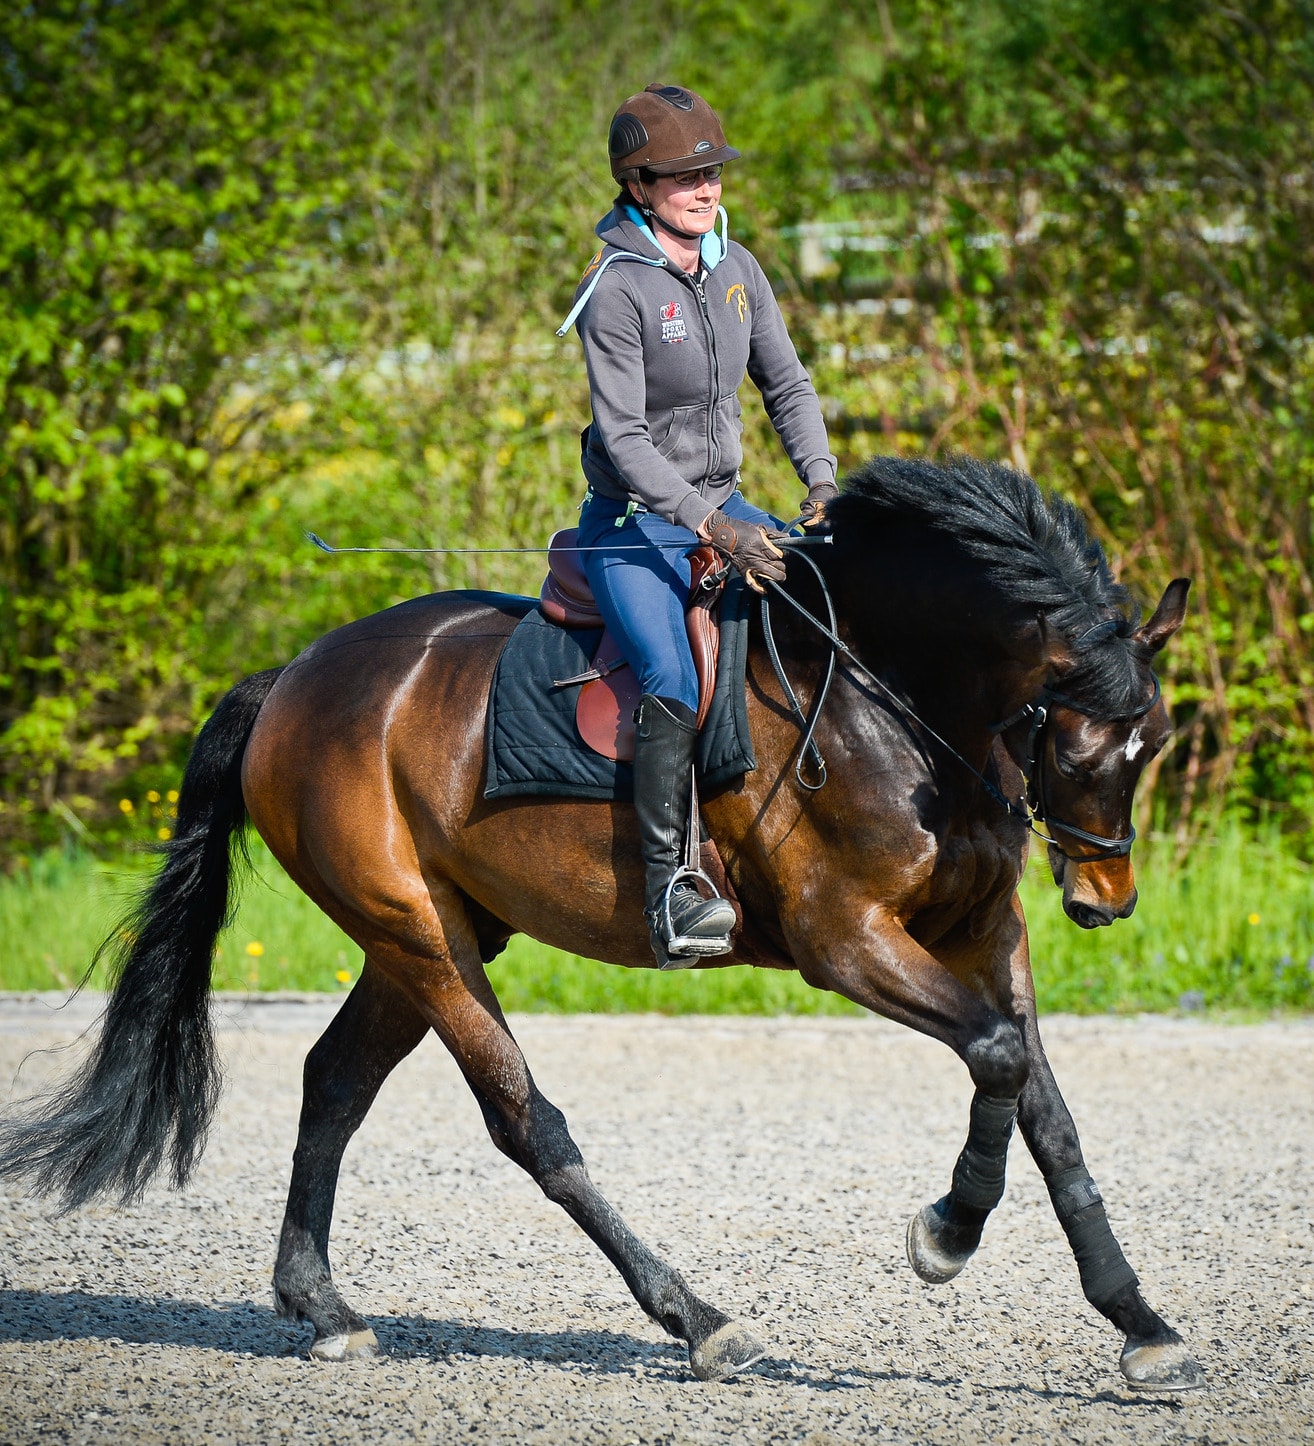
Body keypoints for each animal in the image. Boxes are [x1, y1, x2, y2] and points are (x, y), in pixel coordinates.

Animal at [0, 453, 1202, 1392]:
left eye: (1151, 742)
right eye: (1072, 742)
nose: (1104, 902)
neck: (892, 693)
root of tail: (295, 674)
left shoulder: (985, 936)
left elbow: (1043, 1103)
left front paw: (1140, 1325)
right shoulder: (847, 941)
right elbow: (997, 1055)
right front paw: (947, 1233)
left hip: (431, 933)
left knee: (335, 1081)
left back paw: (324, 1309)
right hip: (421, 936)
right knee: (526, 1123)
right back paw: (699, 1320)